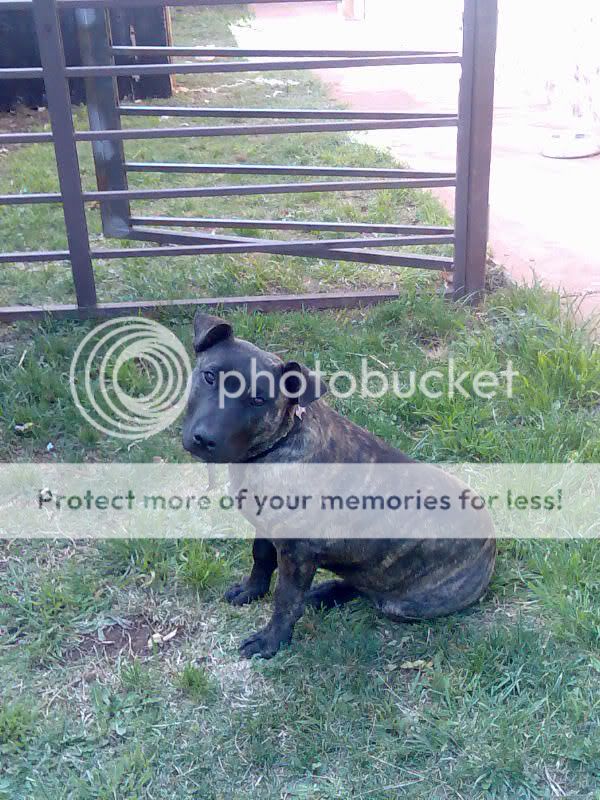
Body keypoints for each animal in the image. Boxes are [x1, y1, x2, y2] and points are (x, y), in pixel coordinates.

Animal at [183, 312, 496, 656]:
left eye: (257, 400)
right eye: (209, 376)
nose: (205, 439)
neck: (283, 440)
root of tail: (492, 543)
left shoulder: (298, 553)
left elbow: (286, 600)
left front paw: (272, 640)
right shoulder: (266, 528)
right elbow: (261, 558)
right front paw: (251, 590)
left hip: (404, 603)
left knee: (374, 593)